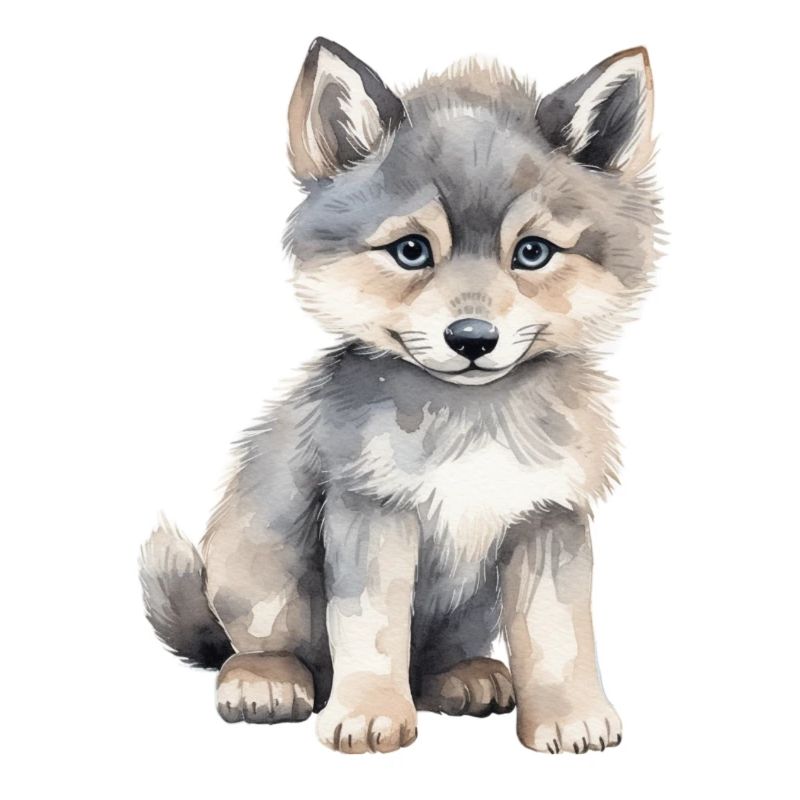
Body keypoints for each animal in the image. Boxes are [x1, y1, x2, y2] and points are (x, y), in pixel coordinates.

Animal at [140, 38, 659, 754]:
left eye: (532, 253)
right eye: (412, 251)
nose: (472, 338)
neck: (473, 421)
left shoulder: (548, 516)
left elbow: (558, 636)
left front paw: (568, 717)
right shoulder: (371, 510)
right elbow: (372, 628)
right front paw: (369, 715)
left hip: (471, 608)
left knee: (434, 658)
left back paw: (465, 677)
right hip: (259, 568)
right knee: (252, 645)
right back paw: (265, 681)